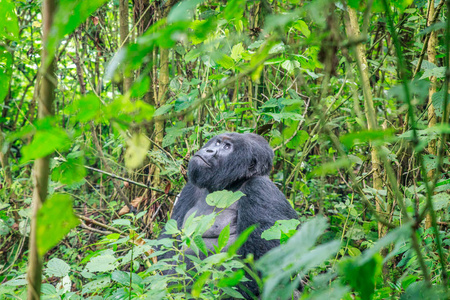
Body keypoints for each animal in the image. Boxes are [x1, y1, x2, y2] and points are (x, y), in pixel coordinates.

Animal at [160, 133, 298, 298]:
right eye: (218, 142)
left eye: (227, 147)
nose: (209, 150)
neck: (229, 185)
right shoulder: (190, 187)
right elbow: (167, 246)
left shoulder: (260, 188)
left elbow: (269, 267)